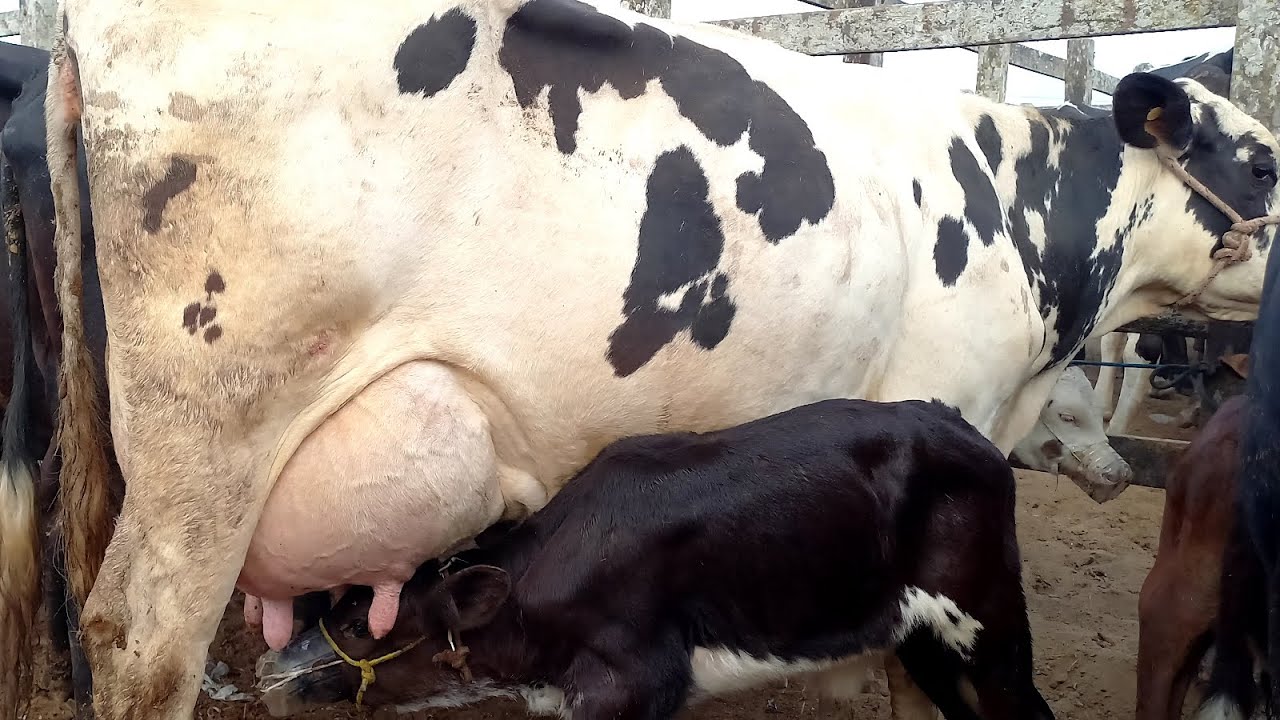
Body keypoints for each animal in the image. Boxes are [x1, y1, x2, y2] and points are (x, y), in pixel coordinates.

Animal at [258, 397, 1055, 720]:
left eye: (360, 624)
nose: (271, 668)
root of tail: (956, 422)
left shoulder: (635, 684)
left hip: (990, 616)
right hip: (921, 636)